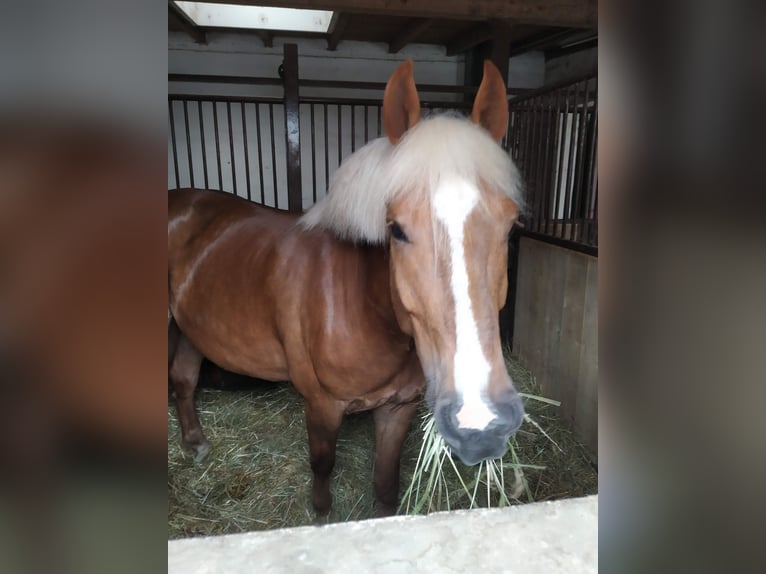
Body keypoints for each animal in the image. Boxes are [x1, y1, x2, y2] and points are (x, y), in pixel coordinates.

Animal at [169, 59, 528, 520]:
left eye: (511, 225)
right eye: (396, 229)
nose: (480, 421)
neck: (362, 305)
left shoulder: (398, 409)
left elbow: (386, 486)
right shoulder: (322, 405)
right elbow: (323, 466)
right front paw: (321, 516)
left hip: (191, 326)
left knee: (183, 378)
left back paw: (195, 443)